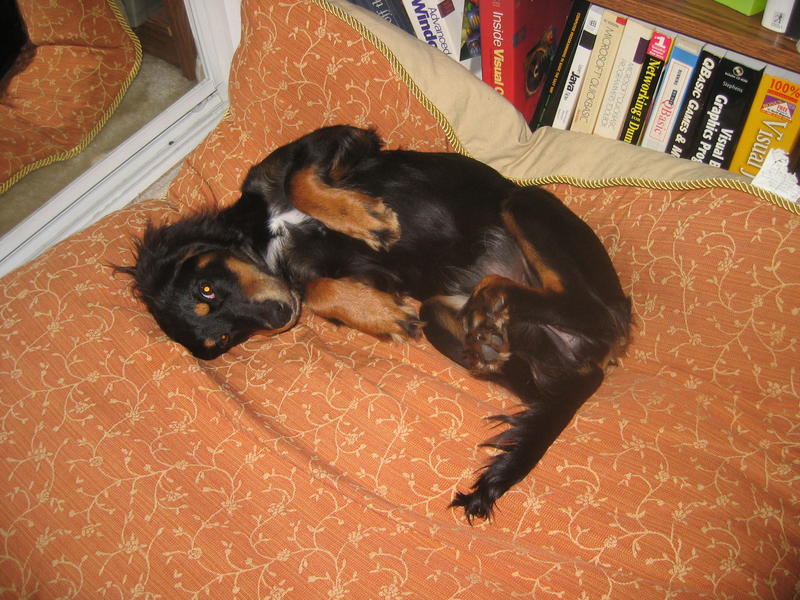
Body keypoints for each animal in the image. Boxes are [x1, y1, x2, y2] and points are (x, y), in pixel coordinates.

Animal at [117, 125, 632, 520]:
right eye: (224, 338)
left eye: (206, 290)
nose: (279, 317)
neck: (268, 238)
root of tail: (594, 365)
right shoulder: (362, 276)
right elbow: (319, 289)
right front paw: (381, 314)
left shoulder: (334, 140)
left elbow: (301, 180)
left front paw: (365, 218)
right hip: (450, 317)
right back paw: (489, 334)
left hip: (525, 204)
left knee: (596, 313)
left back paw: (496, 300)